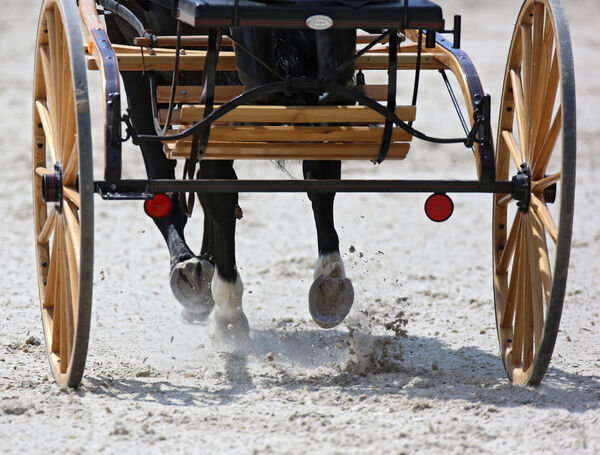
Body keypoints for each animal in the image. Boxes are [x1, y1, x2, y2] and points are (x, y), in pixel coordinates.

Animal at [105, 0, 356, 338]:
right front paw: (203, 266)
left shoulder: (130, 47)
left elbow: (164, 179)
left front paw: (190, 267)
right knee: (321, 175)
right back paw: (330, 281)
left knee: (217, 186)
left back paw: (227, 307)